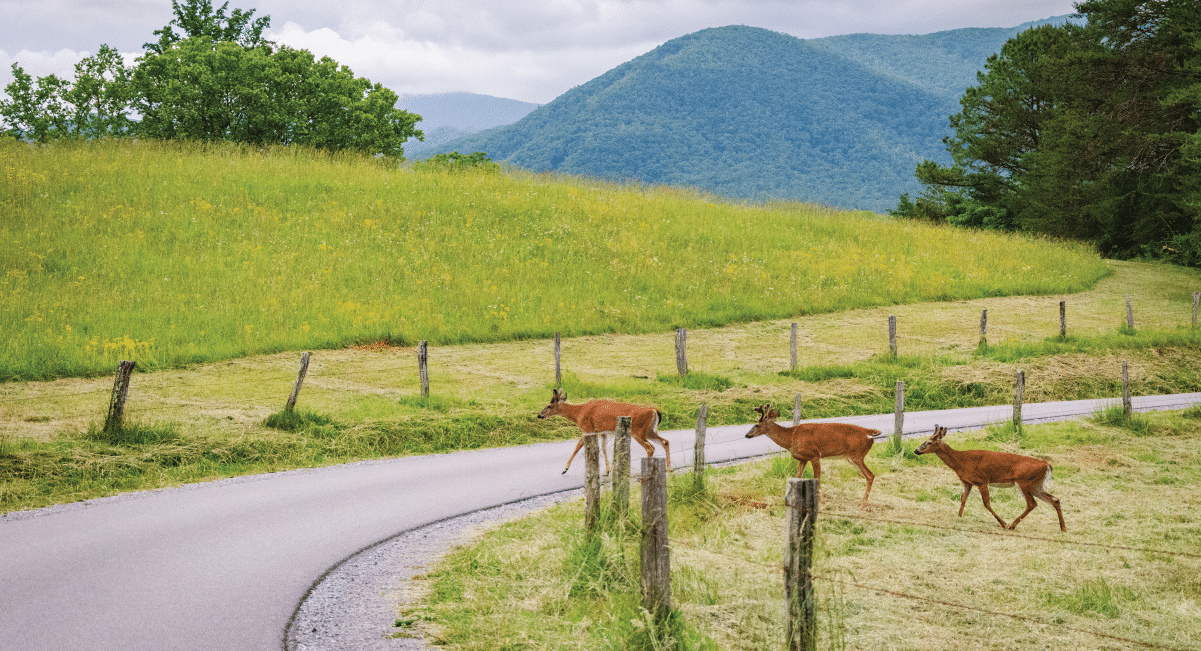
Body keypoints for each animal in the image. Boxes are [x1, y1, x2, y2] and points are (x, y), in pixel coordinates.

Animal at [537, 388, 671, 475]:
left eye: (549, 406)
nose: (539, 415)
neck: (579, 413)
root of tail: (655, 410)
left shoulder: (587, 428)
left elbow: (577, 447)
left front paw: (565, 469)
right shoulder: (602, 432)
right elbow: (604, 448)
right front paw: (607, 471)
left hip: (638, 430)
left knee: (650, 448)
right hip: (649, 430)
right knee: (665, 441)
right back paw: (669, 469)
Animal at [744, 403, 878, 508]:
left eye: (756, 425)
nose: (747, 435)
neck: (791, 437)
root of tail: (868, 433)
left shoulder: (814, 455)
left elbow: (817, 477)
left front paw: (822, 500)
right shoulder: (803, 459)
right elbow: (798, 476)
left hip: (857, 455)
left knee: (870, 475)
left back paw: (863, 503)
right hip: (852, 457)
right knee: (869, 475)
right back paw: (863, 502)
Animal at [914, 425, 1066, 532]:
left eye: (929, 442)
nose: (916, 450)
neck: (961, 462)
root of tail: (1046, 464)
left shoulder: (982, 480)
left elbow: (986, 503)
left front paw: (1003, 523)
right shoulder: (967, 482)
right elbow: (963, 499)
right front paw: (959, 518)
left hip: (1024, 481)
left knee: (1032, 503)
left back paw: (1011, 525)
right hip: (1036, 484)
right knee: (1054, 499)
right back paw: (1063, 528)